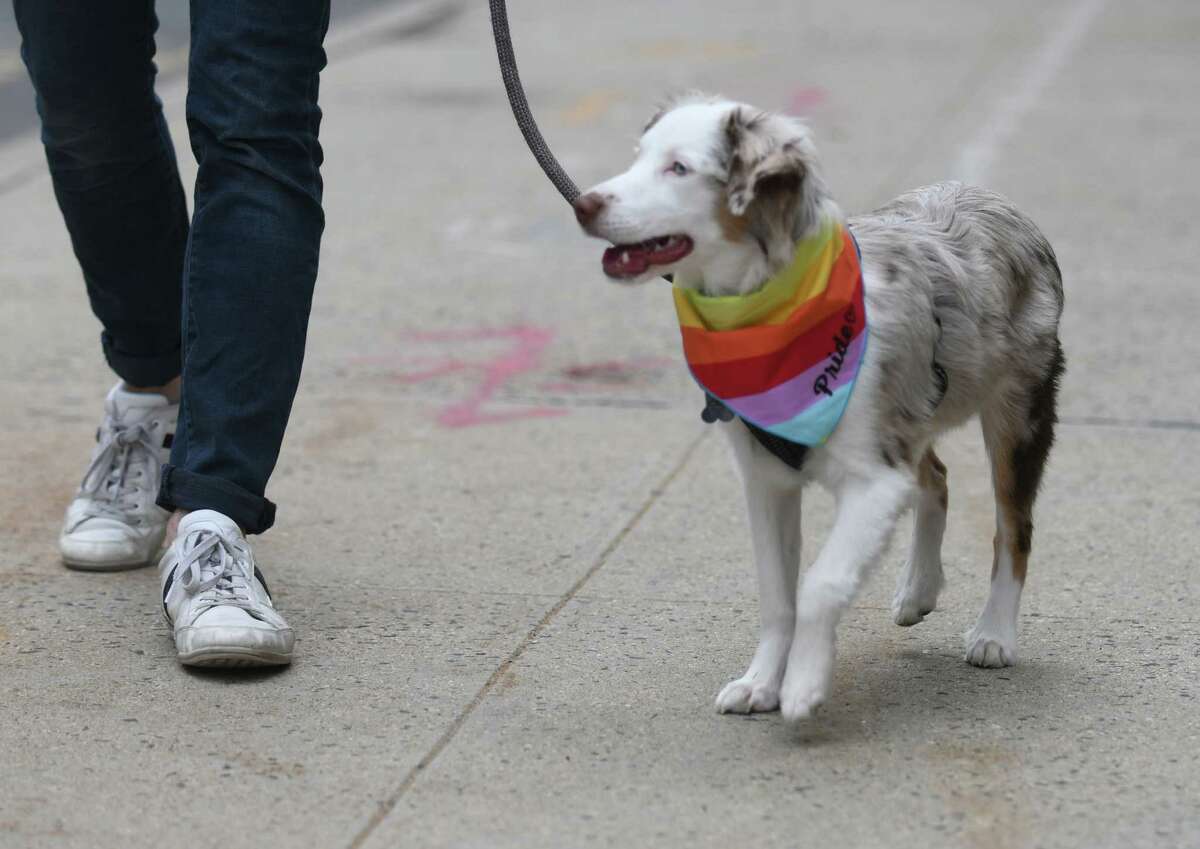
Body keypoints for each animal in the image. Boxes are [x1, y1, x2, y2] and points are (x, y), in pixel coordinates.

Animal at [576, 94, 1065, 724]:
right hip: (912, 411)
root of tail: (994, 200)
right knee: (935, 476)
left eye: (679, 168)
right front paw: (760, 682)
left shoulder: (872, 480)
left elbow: (821, 583)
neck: (769, 312)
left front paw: (803, 684)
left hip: (1017, 410)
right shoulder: (767, 478)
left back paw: (994, 633)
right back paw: (918, 589)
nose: (584, 204)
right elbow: (776, 592)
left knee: (1013, 523)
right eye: (637, 157)